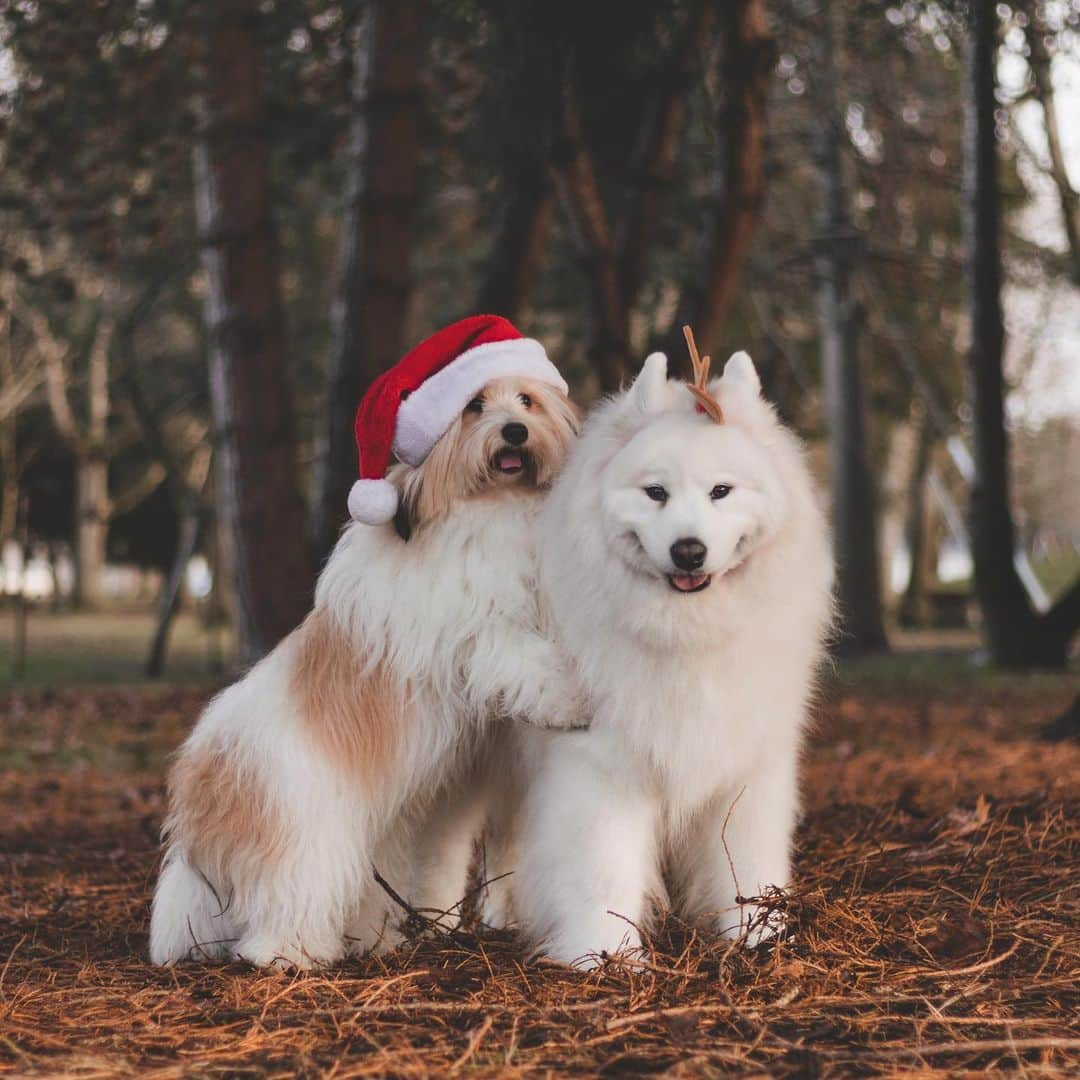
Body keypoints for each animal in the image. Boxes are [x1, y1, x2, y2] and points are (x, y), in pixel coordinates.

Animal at [150, 317, 583, 972]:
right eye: (475, 406)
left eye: (528, 401)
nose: (514, 430)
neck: (494, 506)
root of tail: (203, 780)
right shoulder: (474, 631)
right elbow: (520, 655)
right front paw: (570, 697)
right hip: (306, 832)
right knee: (284, 906)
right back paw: (289, 956)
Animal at [490, 349, 833, 967]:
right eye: (655, 493)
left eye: (721, 491)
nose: (688, 550)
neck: (686, 636)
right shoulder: (601, 767)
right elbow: (601, 869)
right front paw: (604, 956)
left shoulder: (747, 767)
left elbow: (746, 860)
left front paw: (761, 938)